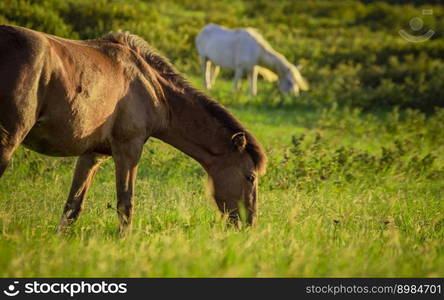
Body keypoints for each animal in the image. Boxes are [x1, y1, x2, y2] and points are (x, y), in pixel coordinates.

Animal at [0, 24, 268, 233]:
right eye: (250, 176)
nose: (250, 224)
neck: (151, 86)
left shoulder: (92, 155)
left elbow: (72, 208)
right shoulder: (129, 150)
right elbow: (125, 204)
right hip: (8, 143)